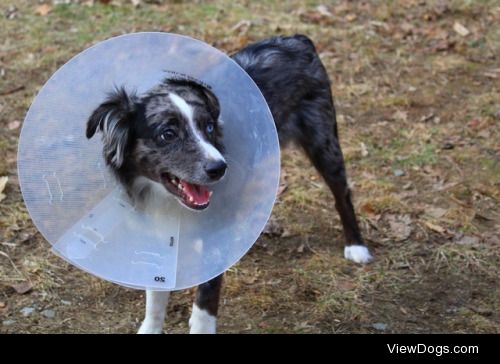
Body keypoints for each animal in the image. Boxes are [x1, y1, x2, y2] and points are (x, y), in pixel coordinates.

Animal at [87, 34, 372, 332]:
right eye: (168, 134)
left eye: (209, 127)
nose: (219, 168)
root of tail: (297, 39)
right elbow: (155, 295)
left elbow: (205, 302)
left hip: (324, 144)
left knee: (343, 196)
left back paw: (356, 246)